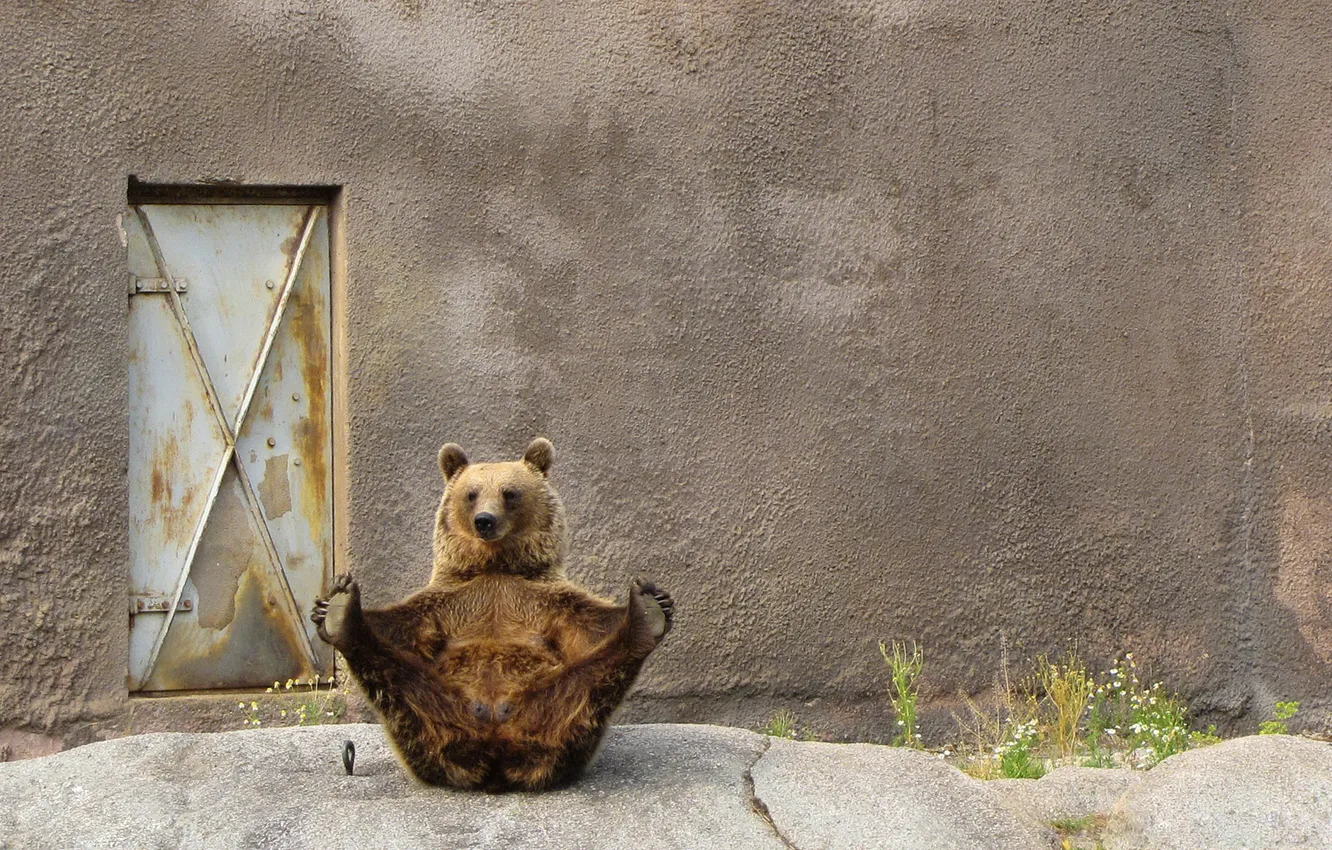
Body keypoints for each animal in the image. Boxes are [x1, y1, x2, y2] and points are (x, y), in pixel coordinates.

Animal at [310, 437, 674, 792]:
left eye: (509, 493)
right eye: (471, 493)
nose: (485, 520)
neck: (495, 566)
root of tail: (496, 753)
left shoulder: (544, 600)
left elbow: (590, 624)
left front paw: (656, 599)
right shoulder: (450, 602)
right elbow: (401, 626)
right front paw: (326, 606)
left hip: (551, 708)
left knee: (589, 685)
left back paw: (645, 618)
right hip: (432, 714)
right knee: (399, 681)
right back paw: (343, 615)